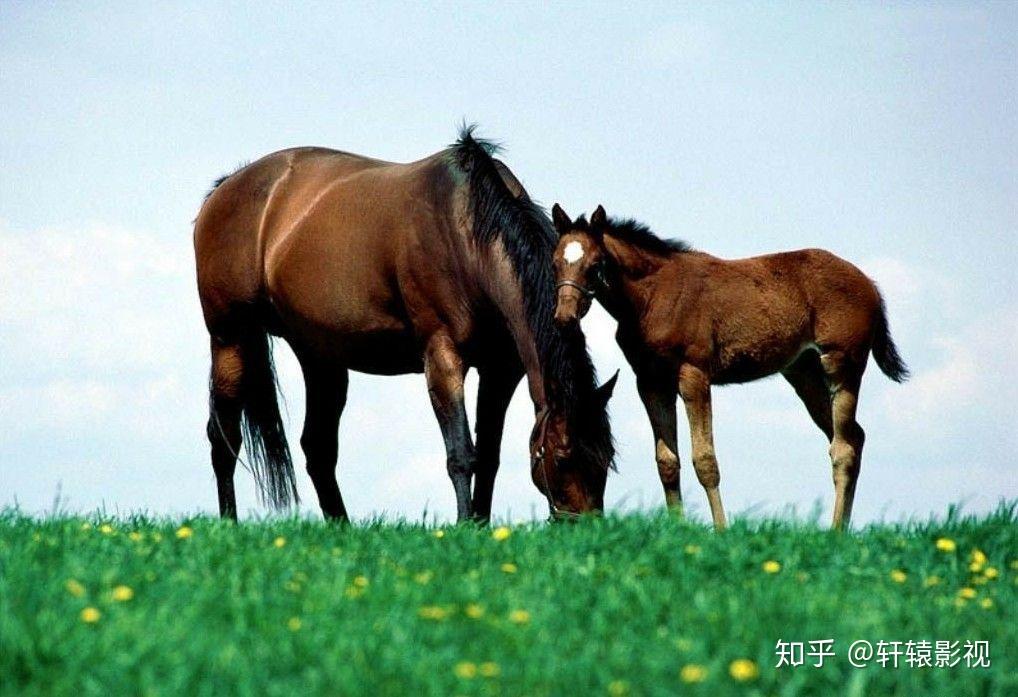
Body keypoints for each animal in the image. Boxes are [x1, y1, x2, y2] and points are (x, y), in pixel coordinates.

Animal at [194, 129, 614, 520]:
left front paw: (480, 524)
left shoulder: (500, 371)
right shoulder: (442, 358)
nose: (586, 526)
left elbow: (489, 456)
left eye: (607, 456)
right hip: (230, 338)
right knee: (224, 437)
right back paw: (229, 523)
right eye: (562, 457)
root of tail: (224, 189)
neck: (466, 234)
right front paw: (464, 524)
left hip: (321, 358)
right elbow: (462, 453)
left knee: (318, 447)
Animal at [553, 203, 912, 529]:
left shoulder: (694, 374)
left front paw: (721, 530)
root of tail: (870, 284)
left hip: (842, 364)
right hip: (804, 372)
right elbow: (667, 462)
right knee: (855, 436)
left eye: (595, 264)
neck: (653, 297)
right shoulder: (651, 381)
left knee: (844, 446)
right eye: (556, 262)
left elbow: (704, 459)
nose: (564, 317)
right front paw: (677, 530)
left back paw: (836, 531)